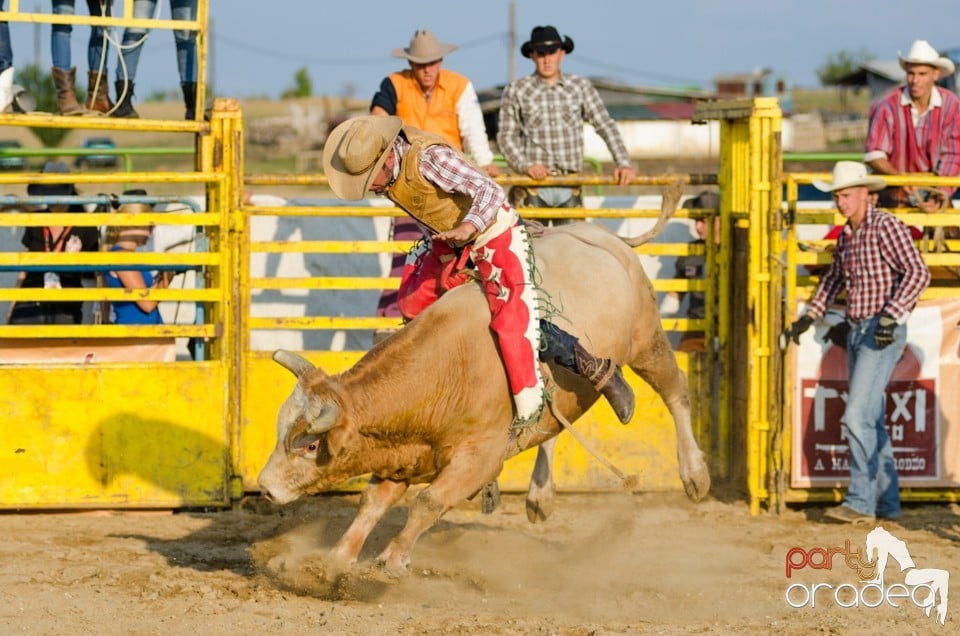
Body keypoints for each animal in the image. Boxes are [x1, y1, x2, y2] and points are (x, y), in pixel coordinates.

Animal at [258, 184, 708, 576]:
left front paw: (393, 559)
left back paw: (694, 474)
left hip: (647, 338)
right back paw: (540, 494)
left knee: (675, 392)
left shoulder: (480, 457)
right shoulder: (403, 452)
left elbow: (429, 501)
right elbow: (372, 500)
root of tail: (603, 235)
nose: (264, 487)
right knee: (553, 427)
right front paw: (334, 560)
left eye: (309, 444)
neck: (447, 367)